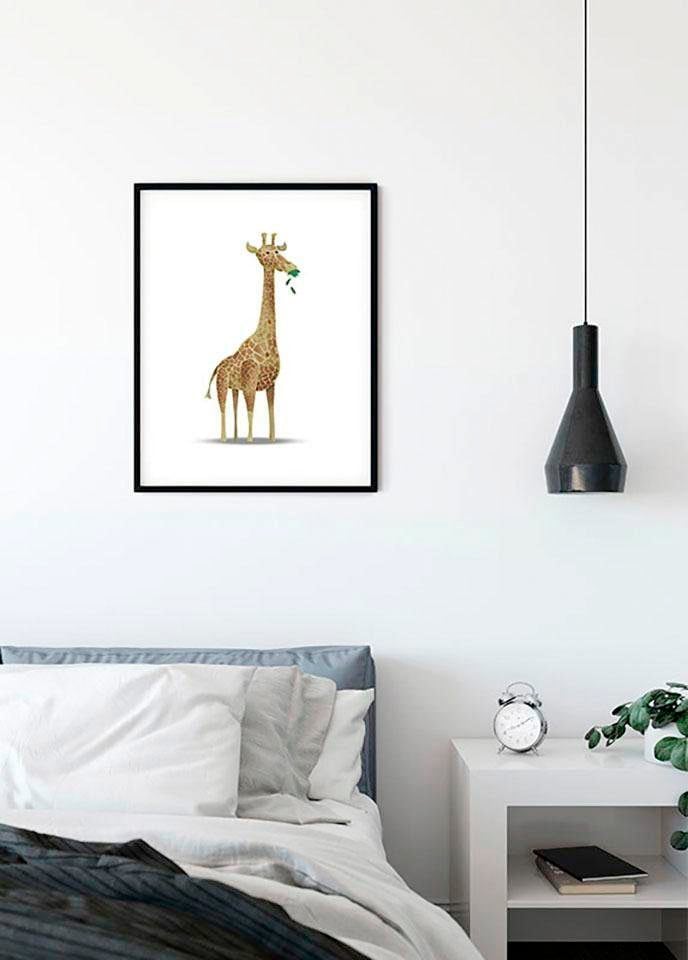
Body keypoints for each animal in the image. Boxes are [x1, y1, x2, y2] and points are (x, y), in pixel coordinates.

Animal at [205, 233, 299, 442]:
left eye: (277, 250)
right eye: (266, 252)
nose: (292, 268)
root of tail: (218, 366)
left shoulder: (271, 384)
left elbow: (271, 410)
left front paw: (272, 438)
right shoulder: (250, 384)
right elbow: (251, 410)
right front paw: (249, 439)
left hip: (234, 387)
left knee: (233, 406)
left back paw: (234, 436)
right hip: (221, 385)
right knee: (222, 408)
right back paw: (224, 438)